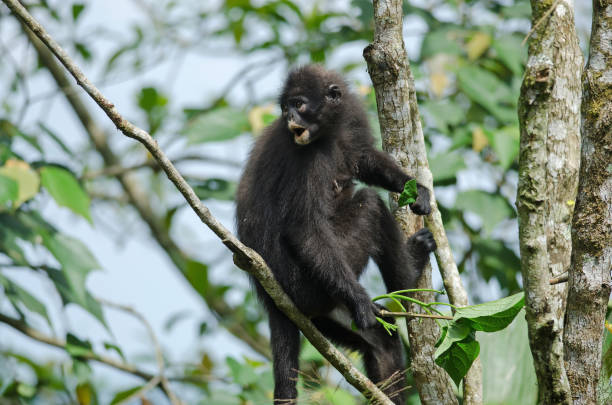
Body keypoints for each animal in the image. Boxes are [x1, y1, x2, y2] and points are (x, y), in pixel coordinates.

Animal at [237, 64, 438, 402]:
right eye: (285, 108)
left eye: (298, 104)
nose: (290, 118)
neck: (327, 133)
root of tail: (271, 294)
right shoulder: (306, 158)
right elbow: (304, 229)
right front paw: (361, 301)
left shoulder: (351, 114)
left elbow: (365, 158)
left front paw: (414, 187)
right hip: (311, 285)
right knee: (370, 203)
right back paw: (409, 278)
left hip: (322, 309)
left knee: (382, 342)